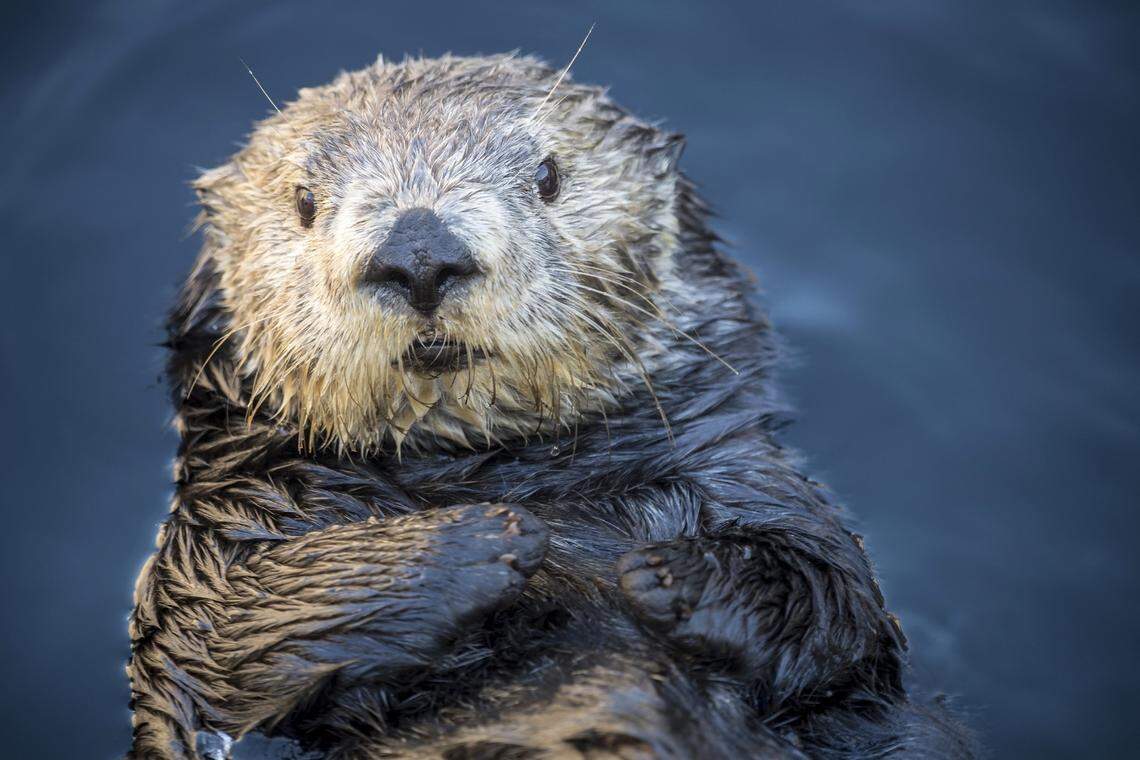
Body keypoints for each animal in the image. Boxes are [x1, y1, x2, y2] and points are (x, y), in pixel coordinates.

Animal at [128, 54, 975, 759]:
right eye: (303, 200)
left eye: (547, 175)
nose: (420, 253)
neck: (501, 470)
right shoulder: (214, 536)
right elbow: (216, 635)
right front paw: (486, 542)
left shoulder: (747, 476)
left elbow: (834, 599)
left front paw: (668, 576)